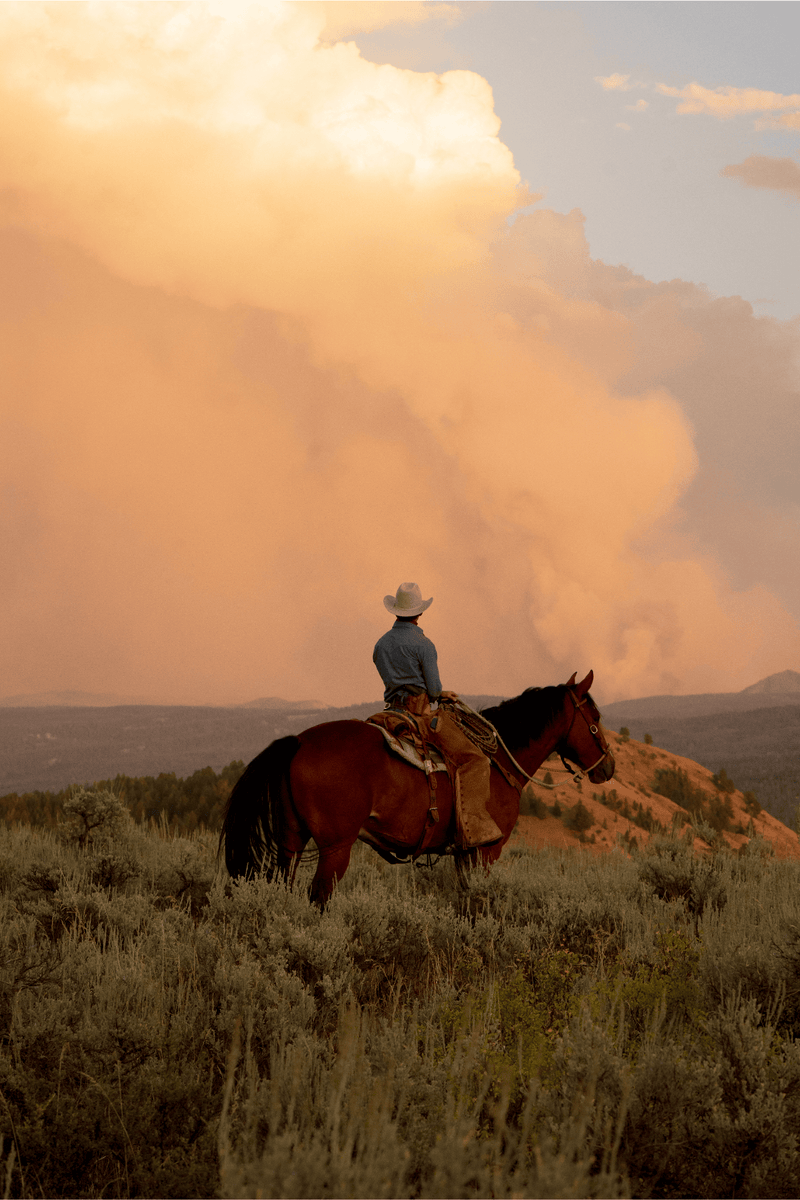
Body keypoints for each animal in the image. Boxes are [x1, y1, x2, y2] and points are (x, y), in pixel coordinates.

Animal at [219, 672, 614, 902]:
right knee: (319, 896)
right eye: (595, 718)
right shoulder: (487, 851)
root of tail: (299, 741)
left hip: (291, 841)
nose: (608, 766)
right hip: (335, 848)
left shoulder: (464, 854)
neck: (500, 756)